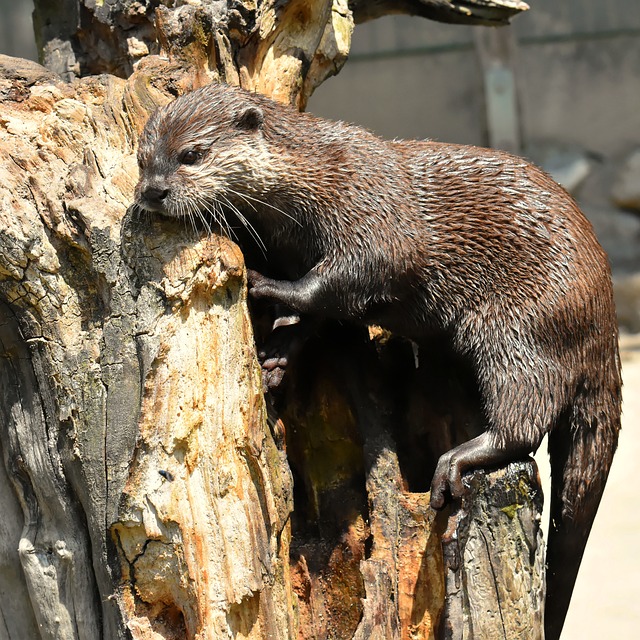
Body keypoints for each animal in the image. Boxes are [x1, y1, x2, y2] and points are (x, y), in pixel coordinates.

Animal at [135, 81, 620, 640]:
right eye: (143, 160)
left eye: (191, 155)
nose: (152, 192)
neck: (312, 179)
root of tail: (605, 318)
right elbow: (321, 314)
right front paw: (276, 358)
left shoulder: (371, 210)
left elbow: (352, 273)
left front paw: (264, 285)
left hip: (523, 328)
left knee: (525, 416)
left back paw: (459, 460)